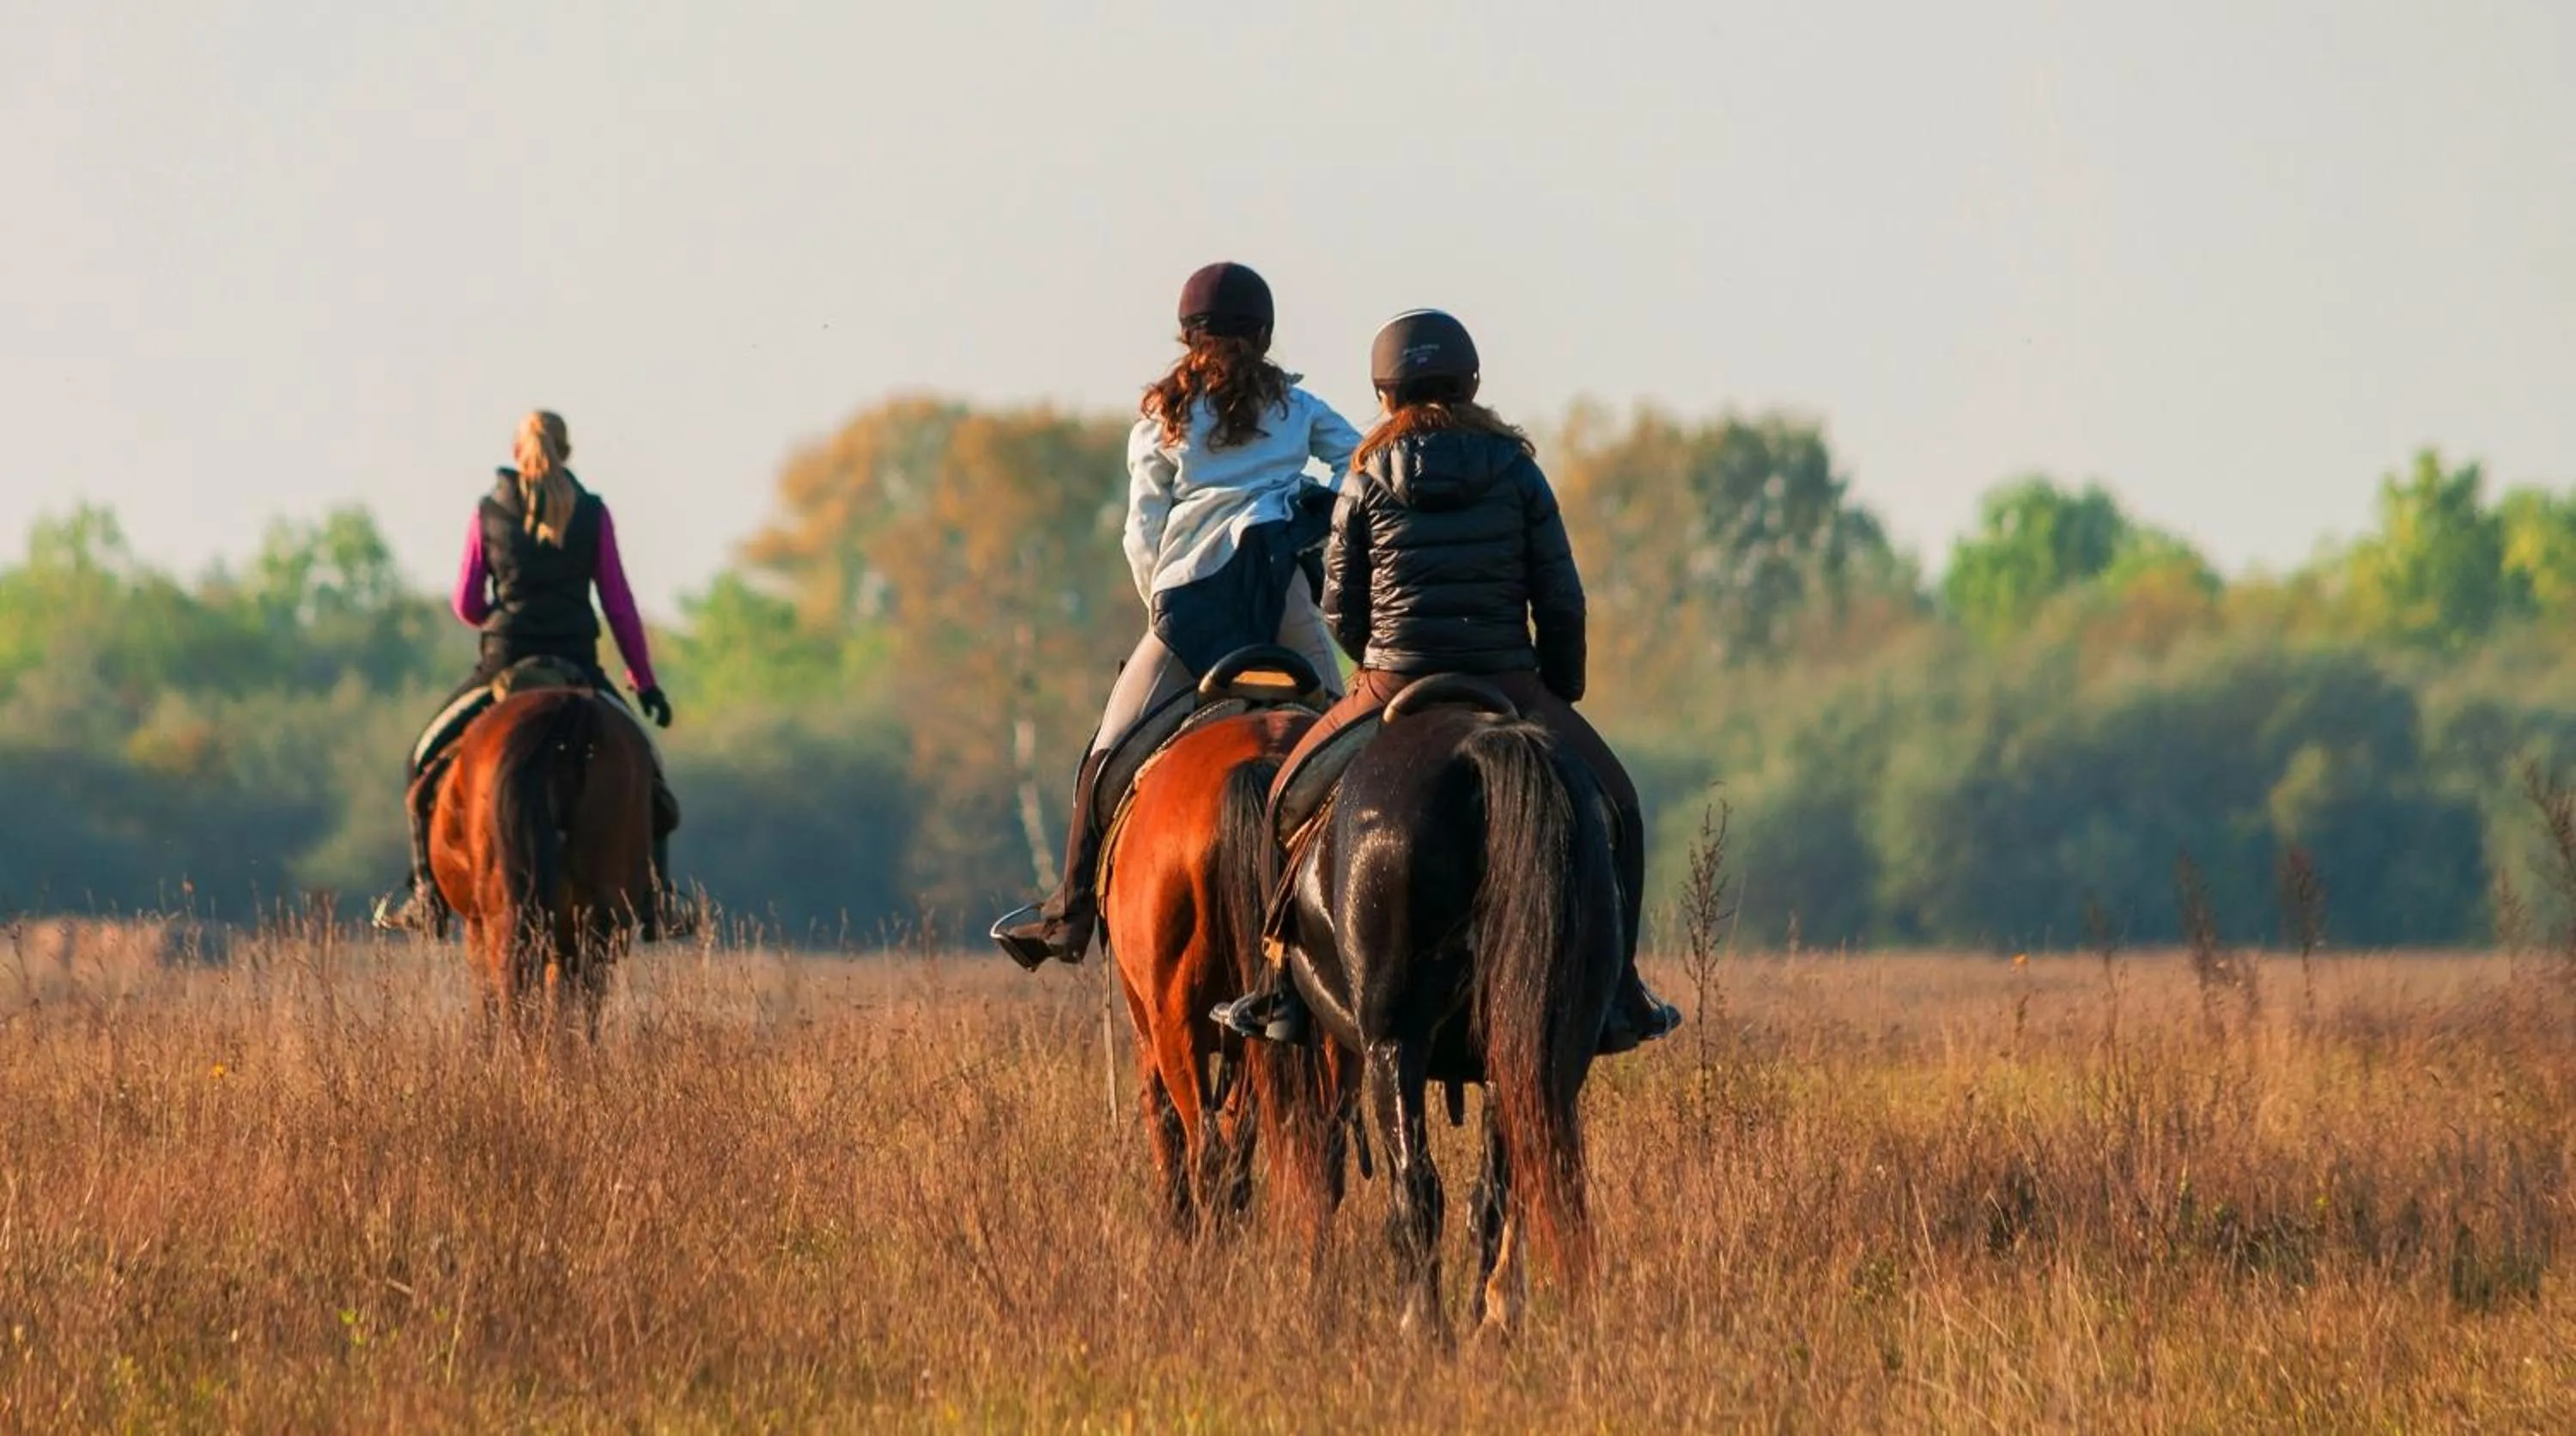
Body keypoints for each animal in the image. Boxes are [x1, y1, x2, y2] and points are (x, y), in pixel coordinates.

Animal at [427, 674, 659, 1040]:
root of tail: (570, 710)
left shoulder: (476, 924)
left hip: (505, 909)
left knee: (517, 980)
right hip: (601, 910)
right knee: (584, 991)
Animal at [1273, 678, 1624, 1339]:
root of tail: (1481, 744)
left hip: (1393, 1042)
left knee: (1417, 1188)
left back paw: (1425, 1327)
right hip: (1536, 1045)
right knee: (1511, 1185)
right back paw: (1495, 1320)